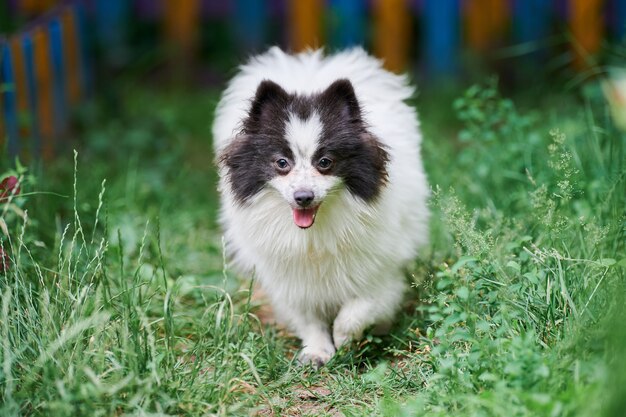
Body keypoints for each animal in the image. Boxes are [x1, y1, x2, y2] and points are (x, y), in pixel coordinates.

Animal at [212, 46, 426, 364]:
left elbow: (357, 309)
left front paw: (346, 339)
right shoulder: (294, 281)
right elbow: (309, 318)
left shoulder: (378, 272)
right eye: (281, 163)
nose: (303, 197)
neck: (312, 236)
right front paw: (317, 351)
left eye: (325, 162)